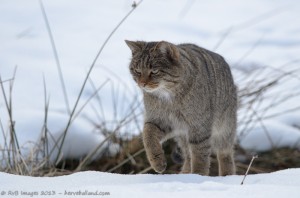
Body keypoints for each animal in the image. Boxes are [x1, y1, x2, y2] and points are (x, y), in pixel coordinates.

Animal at [124, 39, 237, 176]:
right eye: (137, 71)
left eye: (154, 71)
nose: (142, 84)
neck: (169, 97)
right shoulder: (160, 120)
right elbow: (148, 136)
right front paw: (157, 161)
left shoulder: (199, 126)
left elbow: (200, 156)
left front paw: (198, 175)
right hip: (183, 135)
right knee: (188, 156)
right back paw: (185, 174)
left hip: (225, 128)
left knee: (225, 154)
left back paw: (227, 175)